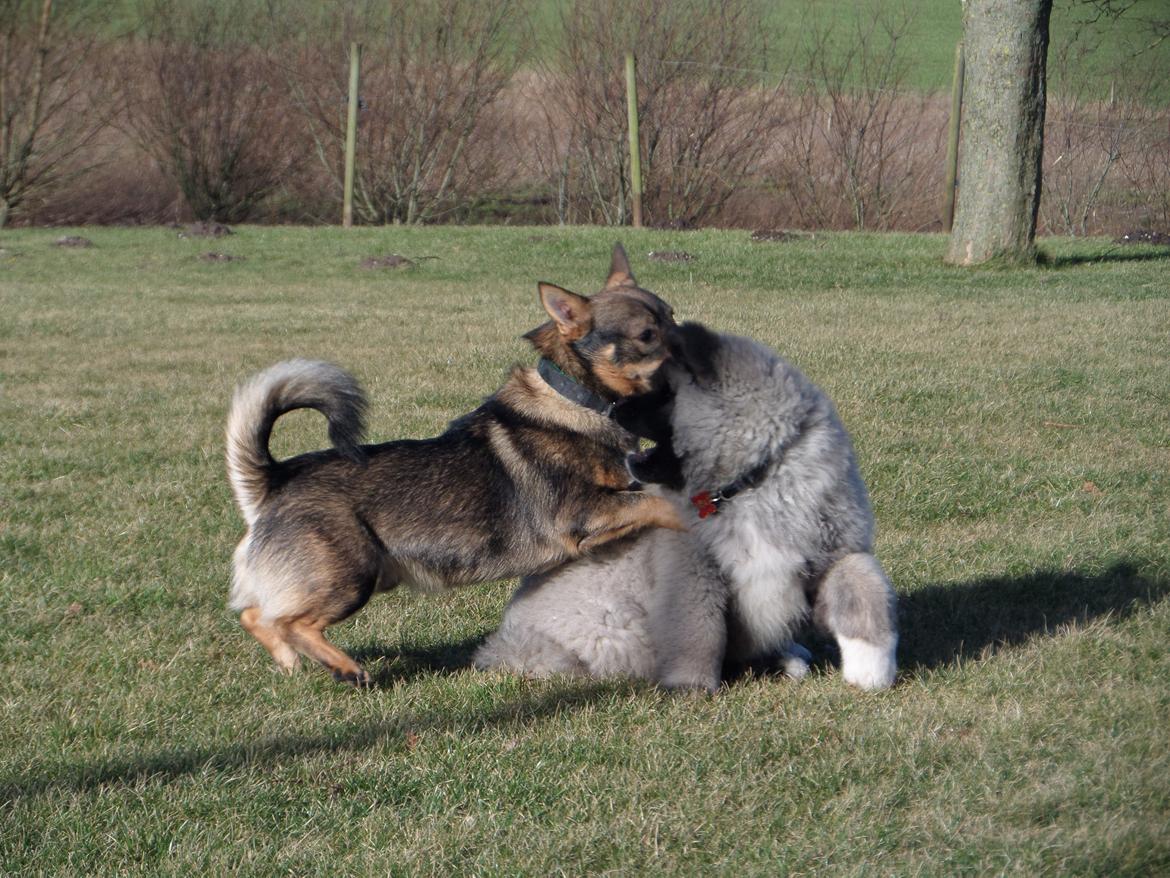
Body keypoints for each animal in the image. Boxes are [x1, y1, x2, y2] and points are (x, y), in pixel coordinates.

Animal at [226, 245, 683, 688]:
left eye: (672, 317)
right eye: (646, 335)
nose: (696, 349)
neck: (575, 401)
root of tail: (273, 479)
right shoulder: (582, 514)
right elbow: (657, 503)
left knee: (256, 615)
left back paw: (291, 665)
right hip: (350, 576)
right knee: (287, 621)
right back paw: (346, 669)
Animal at [475, 323, 893, 693]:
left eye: (664, 393)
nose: (614, 407)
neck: (749, 485)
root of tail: (505, 643)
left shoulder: (835, 552)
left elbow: (863, 591)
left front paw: (871, 669)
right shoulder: (694, 570)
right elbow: (699, 630)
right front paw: (692, 687)